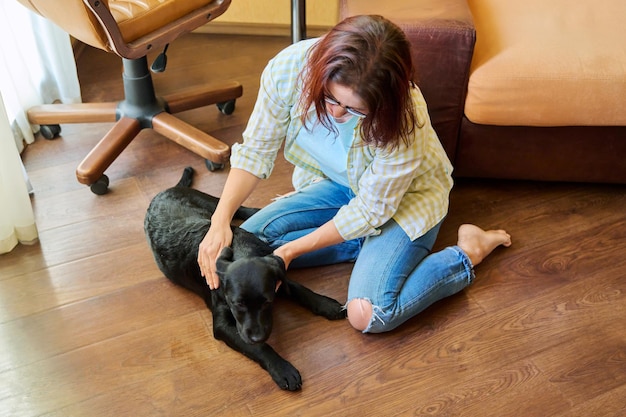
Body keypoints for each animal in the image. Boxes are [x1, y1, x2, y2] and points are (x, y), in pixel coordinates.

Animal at [144, 167, 344, 390]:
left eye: (267, 302)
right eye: (237, 304)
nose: (257, 336)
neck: (241, 250)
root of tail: (165, 191)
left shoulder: (276, 274)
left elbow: (299, 289)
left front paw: (327, 304)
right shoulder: (223, 324)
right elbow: (259, 348)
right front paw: (282, 369)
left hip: (210, 202)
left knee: (235, 208)